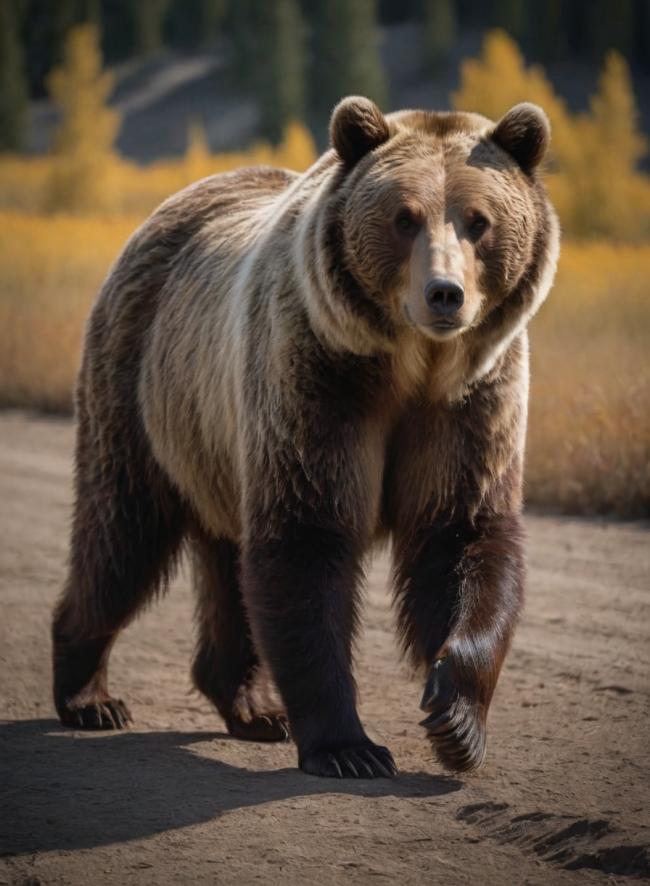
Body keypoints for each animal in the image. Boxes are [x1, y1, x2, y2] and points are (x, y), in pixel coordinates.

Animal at [52, 96, 559, 778]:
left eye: (478, 220)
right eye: (404, 217)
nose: (444, 294)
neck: (411, 366)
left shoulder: (470, 404)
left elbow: (463, 535)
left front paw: (454, 719)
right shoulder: (319, 377)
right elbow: (307, 538)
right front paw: (351, 748)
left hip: (215, 442)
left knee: (224, 560)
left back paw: (252, 708)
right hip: (141, 388)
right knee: (120, 536)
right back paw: (89, 695)